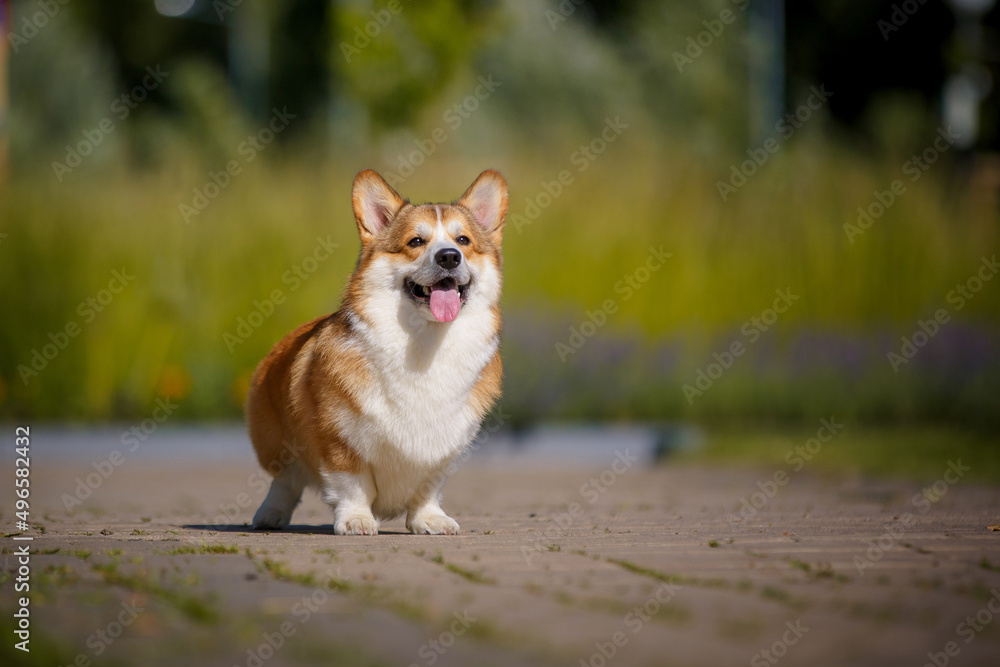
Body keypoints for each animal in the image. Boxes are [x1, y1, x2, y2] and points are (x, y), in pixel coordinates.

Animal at [243, 170, 508, 536]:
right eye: (415, 242)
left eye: (463, 240)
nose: (449, 256)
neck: (425, 343)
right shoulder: (338, 441)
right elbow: (354, 486)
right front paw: (356, 520)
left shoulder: (443, 449)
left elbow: (427, 488)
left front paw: (430, 520)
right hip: (274, 441)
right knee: (285, 480)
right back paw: (270, 515)